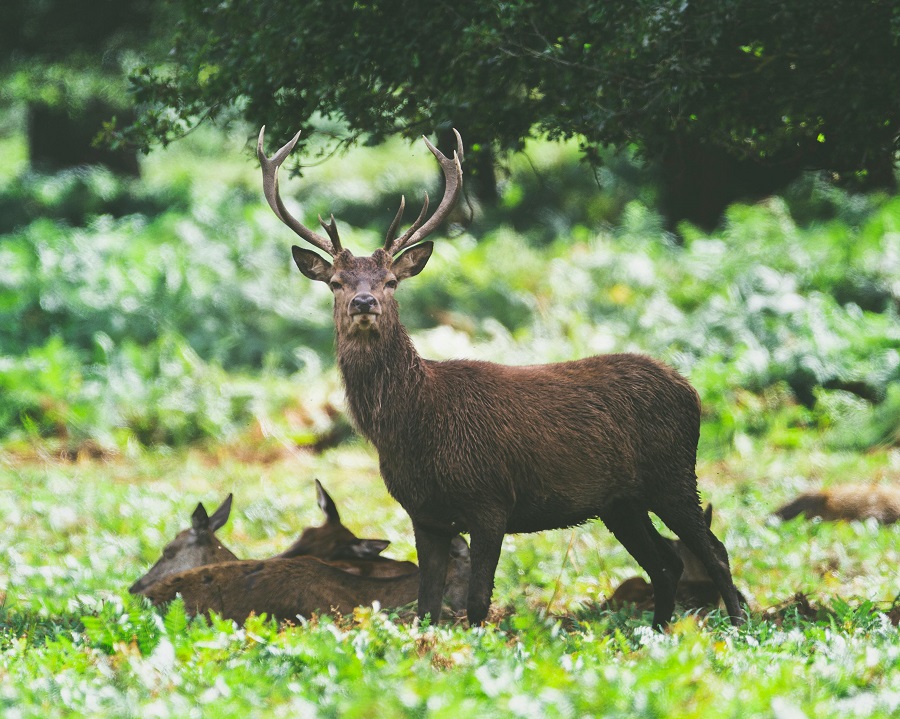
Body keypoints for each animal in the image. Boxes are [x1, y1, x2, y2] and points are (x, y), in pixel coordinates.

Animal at [257, 126, 745, 630]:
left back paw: (737, 623)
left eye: (391, 280)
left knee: (715, 552)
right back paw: (660, 630)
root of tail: (690, 390)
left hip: (674, 473)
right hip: (621, 502)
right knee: (666, 563)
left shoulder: (491, 499)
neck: (413, 426)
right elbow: (426, 608)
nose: (364, 302)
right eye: (336, 282)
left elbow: (477, 603)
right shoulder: (422, 513)